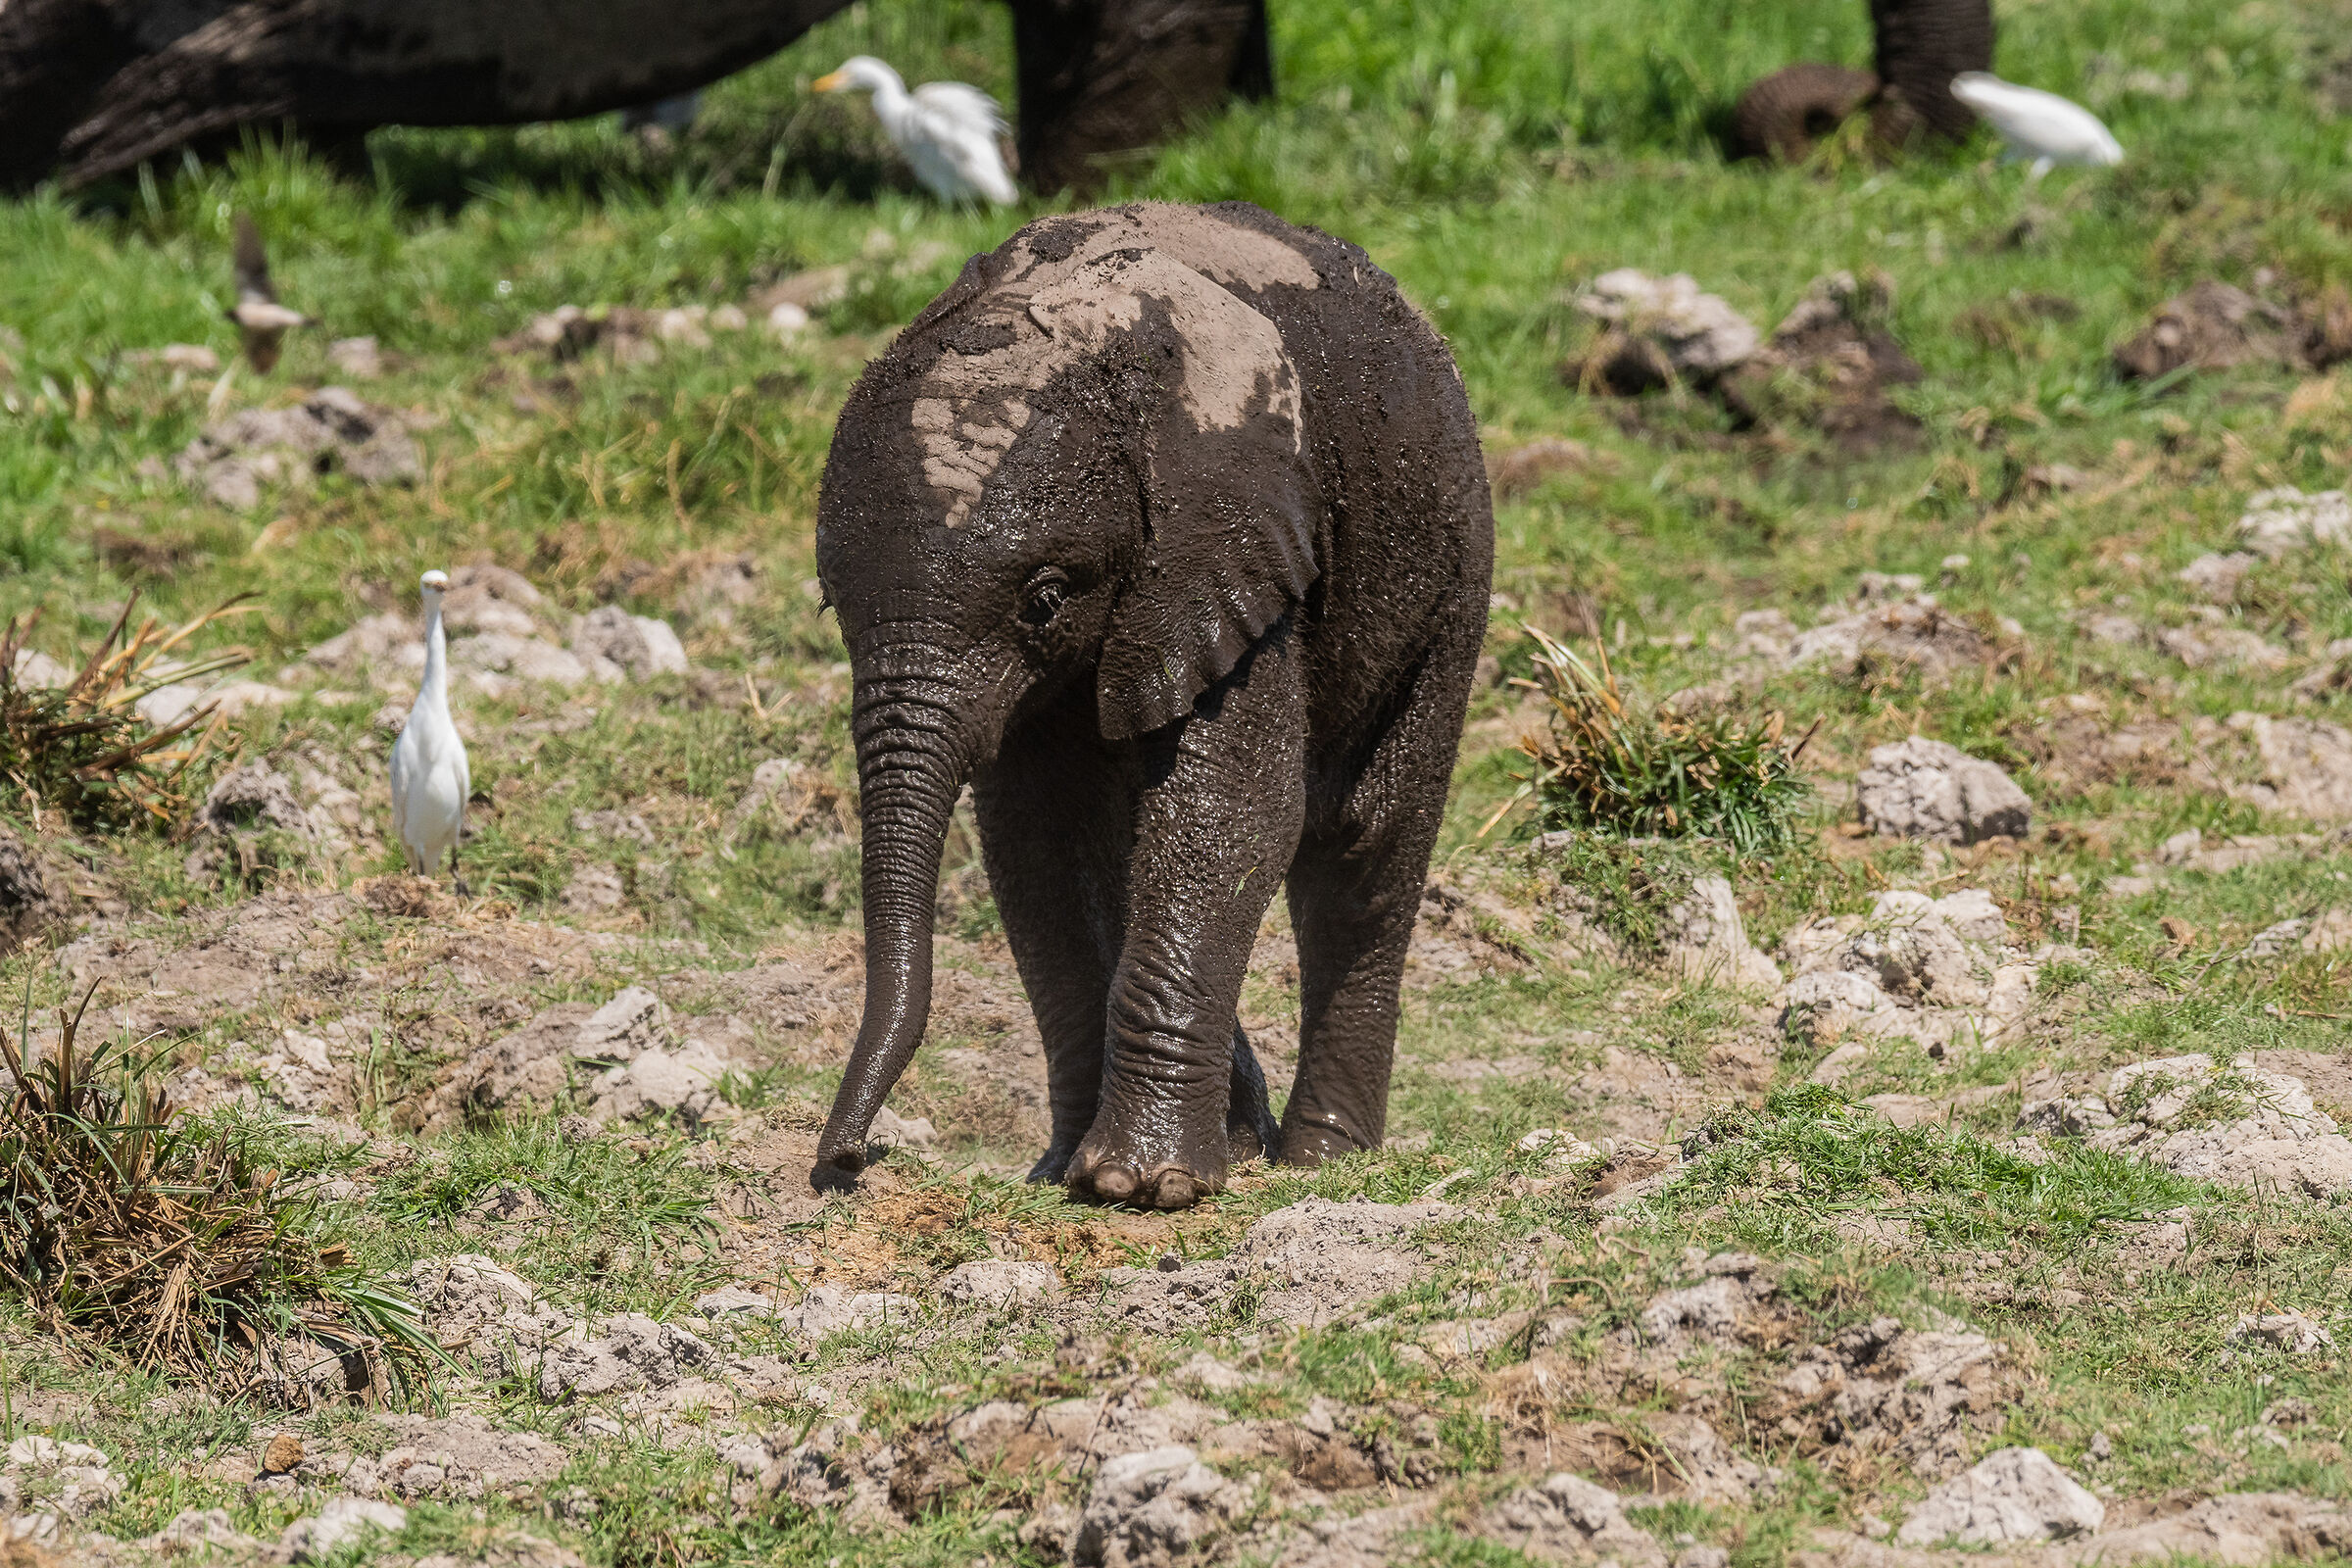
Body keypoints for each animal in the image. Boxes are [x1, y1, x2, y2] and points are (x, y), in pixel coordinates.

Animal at [810, 200, 1494, 1209]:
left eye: (1045, 600)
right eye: (830, 605)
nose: (847, 1162)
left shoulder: (1233, 547)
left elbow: (1234, 814)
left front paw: (1142, 1186)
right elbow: (1044, 842)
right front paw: (1068, 1171)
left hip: (1447, 560)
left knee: (1363, 845)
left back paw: (1321, 1162)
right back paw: (1247, 1137)